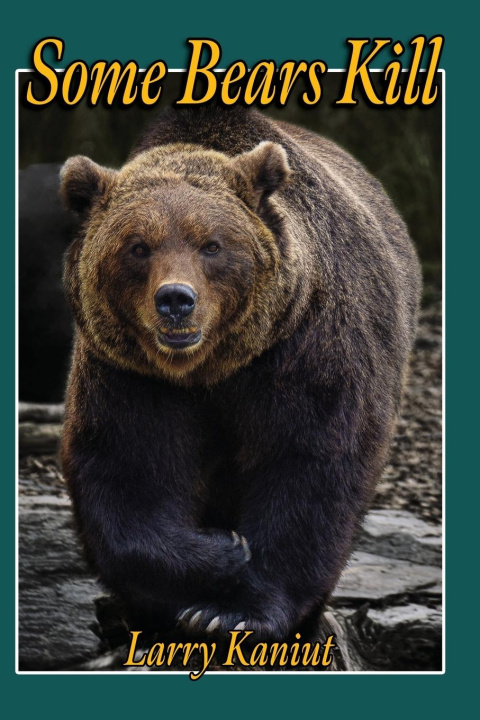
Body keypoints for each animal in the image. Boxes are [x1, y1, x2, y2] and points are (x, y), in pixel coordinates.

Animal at [59, 106, 421, 640]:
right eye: (138, 247)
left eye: (211, 245)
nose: (175, 300)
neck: (210, 368)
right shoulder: (129, 373)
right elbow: (128, 469)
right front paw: (221, 554)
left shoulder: (305, 351)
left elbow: (309, 463)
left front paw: (235, 611)